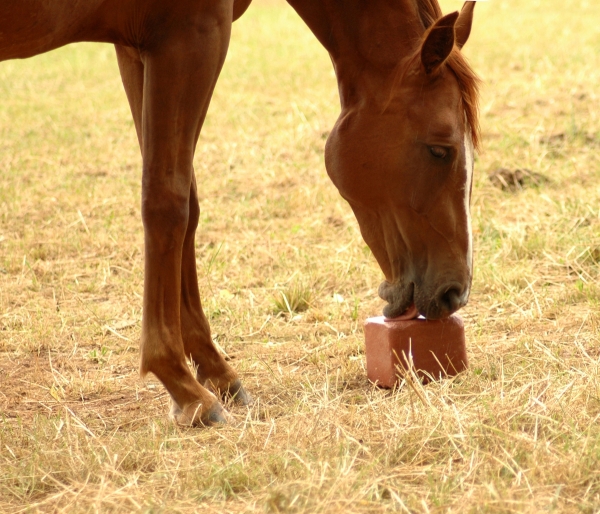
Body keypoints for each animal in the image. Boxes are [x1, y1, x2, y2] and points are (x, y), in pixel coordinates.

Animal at [0, 0, 478, 424]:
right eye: (441, 149)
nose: (455, 292)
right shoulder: (191, 37)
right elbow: (167, 202)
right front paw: (183, 386)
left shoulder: (136, 48)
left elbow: (188, 205)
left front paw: (215, 370)